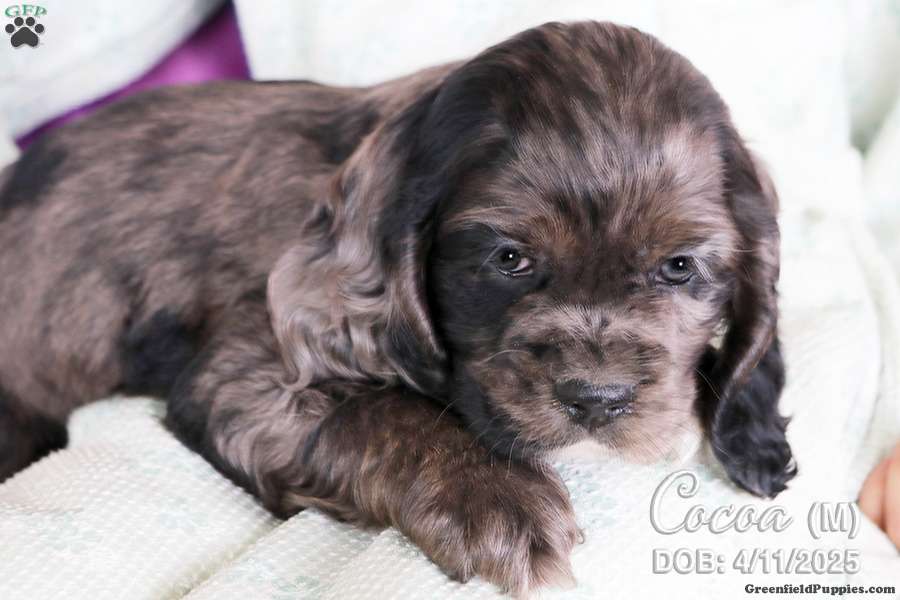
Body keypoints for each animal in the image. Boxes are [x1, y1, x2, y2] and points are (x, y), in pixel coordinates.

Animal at [0, 21, 795, 594]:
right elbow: (381, 410)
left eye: (679, 267)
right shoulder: (251, 366)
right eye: (509, 258)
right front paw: (500, 502)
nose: (596, 401)